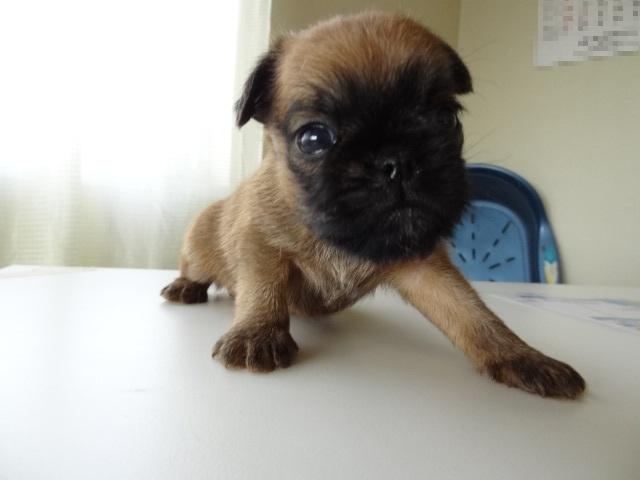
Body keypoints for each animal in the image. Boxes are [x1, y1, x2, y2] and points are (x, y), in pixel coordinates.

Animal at [161, 12, 585, 399]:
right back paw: (185, 287)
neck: (338, 236)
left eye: (446, 119)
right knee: (196, 269)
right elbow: (262, 287)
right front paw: (257, 331)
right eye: (313, 138)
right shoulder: (260, 244)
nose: (397, 162)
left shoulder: (425, 268)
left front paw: (520, 355)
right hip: (199, 250)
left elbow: (471, 313)